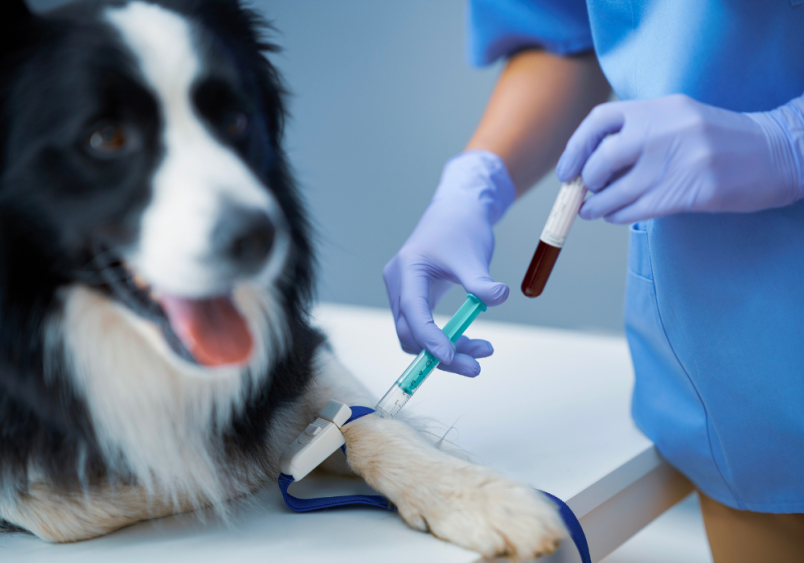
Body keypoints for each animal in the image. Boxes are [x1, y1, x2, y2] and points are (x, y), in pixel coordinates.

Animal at [0, 0, 564, 556]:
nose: (262, 235)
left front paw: (481, 495)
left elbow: (365, 418)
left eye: (234, 121)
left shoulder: (298, 348)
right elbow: (63, 504)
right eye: (105, 138)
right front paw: (242, 461)